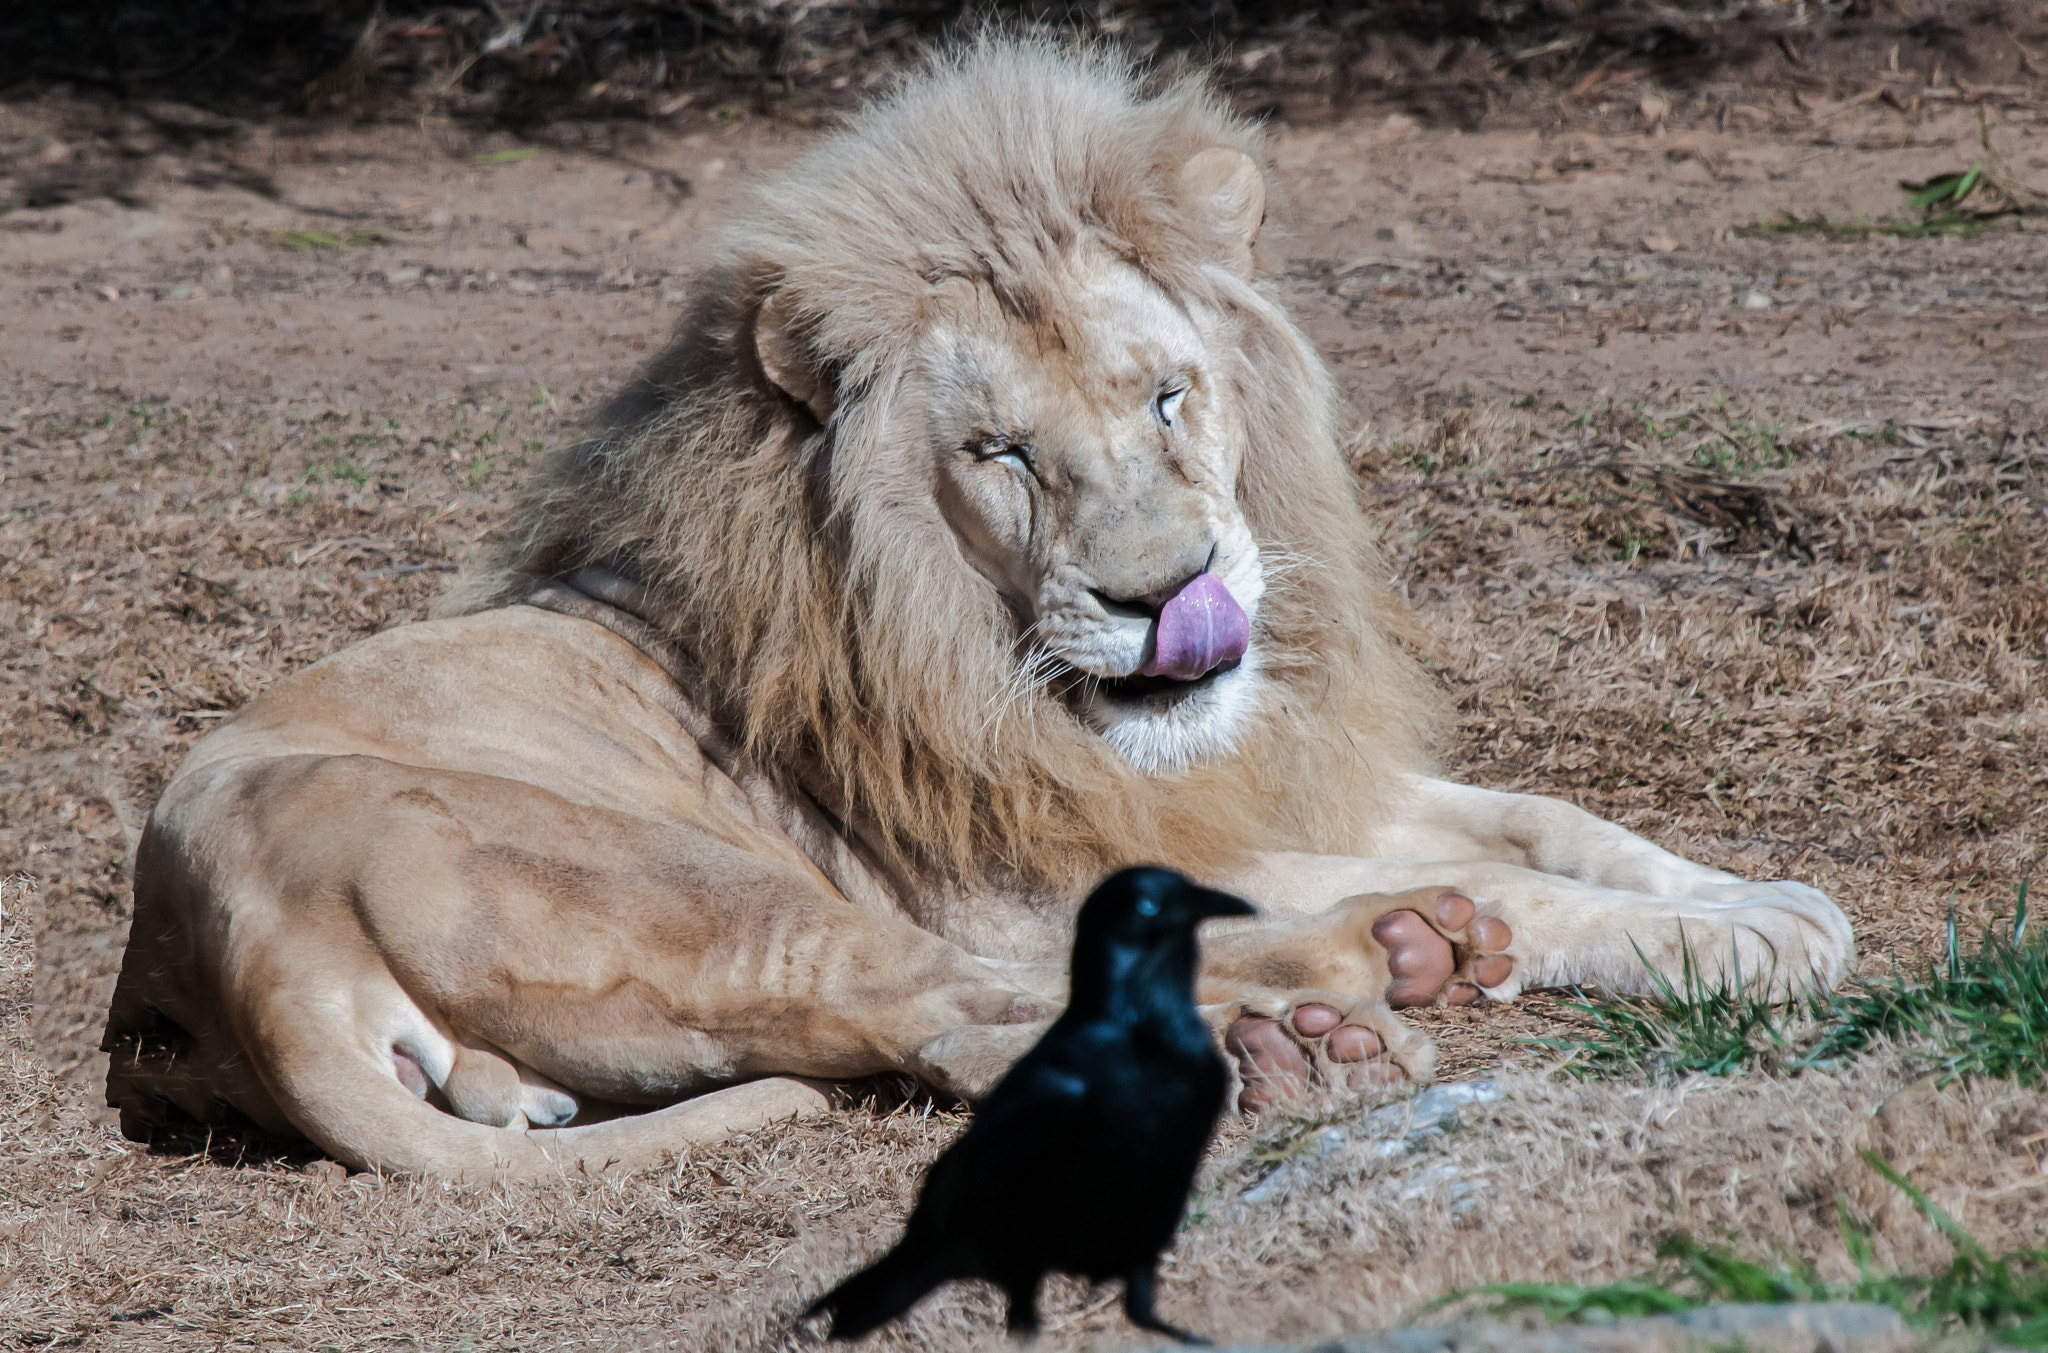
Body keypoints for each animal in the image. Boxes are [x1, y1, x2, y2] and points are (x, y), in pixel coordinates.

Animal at [103, 42, 1851, 1179]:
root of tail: (226, 948)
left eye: (1167, 396)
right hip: (691, 882)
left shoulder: (1255, 782)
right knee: (949, 1013)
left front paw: (1758, 897)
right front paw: (1714, 939)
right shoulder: (1037, 853)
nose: (1166, 597)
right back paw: (1368, 983)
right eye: (1002, 454)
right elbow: (1515, 874)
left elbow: (1546, 815)